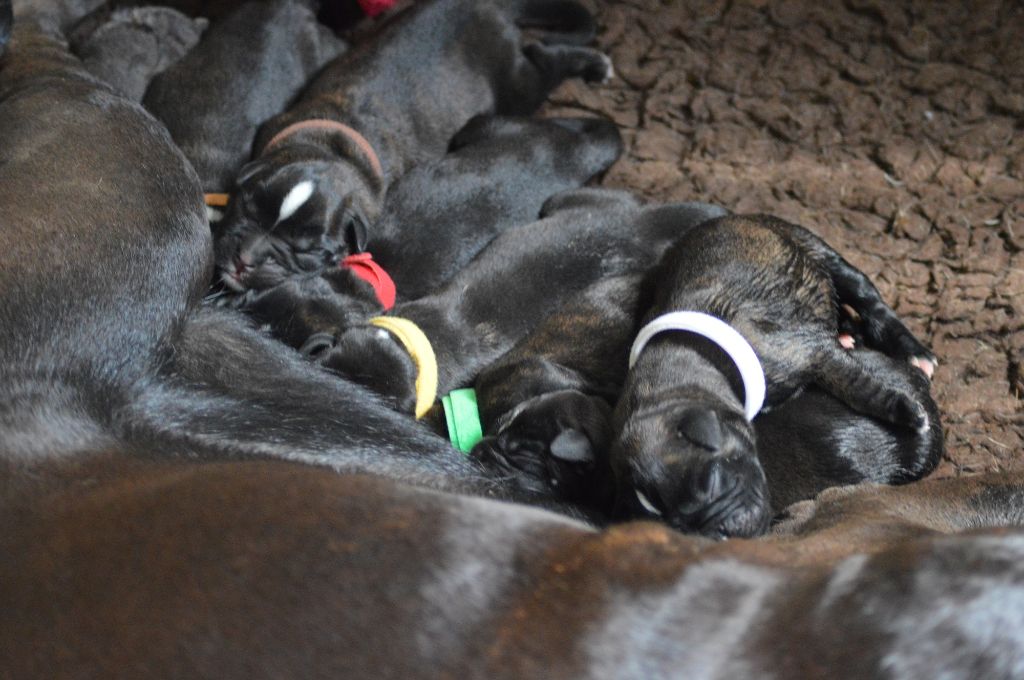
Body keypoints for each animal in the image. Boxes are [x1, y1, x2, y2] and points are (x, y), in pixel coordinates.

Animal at [212, 0, 610, 296]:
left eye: (307, 251)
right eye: (246, 208)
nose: (245, 259)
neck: (331, 151)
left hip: (517, 87)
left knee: (541, 57)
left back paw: (596, 64)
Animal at [606, 215, 937, 540]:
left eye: (711, 482)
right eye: (676, 527)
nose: (721, 533)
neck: (691, 355)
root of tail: (732, 217)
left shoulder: (809, 351)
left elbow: (857, 384)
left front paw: (907, 412)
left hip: (817, 249)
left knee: (868, 299)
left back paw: (914, 353)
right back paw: (848, 335)